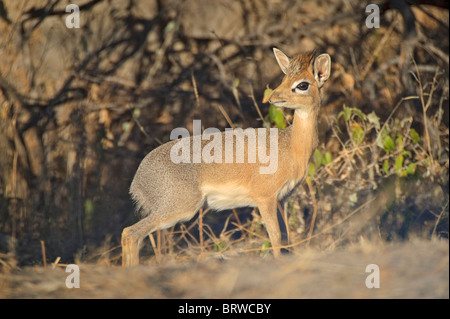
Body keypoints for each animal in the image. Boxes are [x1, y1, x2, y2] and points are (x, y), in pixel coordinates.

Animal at [121, 48, 332, 268]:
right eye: (284, 78)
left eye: (302, 84)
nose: (273, 97)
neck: (290, 146)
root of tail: (138, 181)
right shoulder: (265, 198)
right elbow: (275, 238)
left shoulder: (281, 200)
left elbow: (285, 238)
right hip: (180, 208)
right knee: (130, 233)